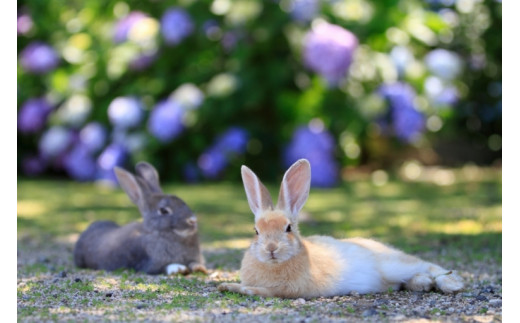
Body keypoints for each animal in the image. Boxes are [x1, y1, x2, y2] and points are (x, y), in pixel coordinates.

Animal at [73, 162, 207, 276]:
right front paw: (179, 268)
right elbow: (165, 267)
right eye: (164, 211)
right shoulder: (149, 264)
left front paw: (199, 268)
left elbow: (194, 263)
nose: (192, 220)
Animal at [217, 159, 466, 298]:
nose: (271, 248)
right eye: (256, 231)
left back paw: (451, 285)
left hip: (392, 264)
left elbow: (264, 291)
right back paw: (422, 284)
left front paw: (231, 287)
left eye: (288, 228)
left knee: (429, 266)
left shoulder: (291, 290)